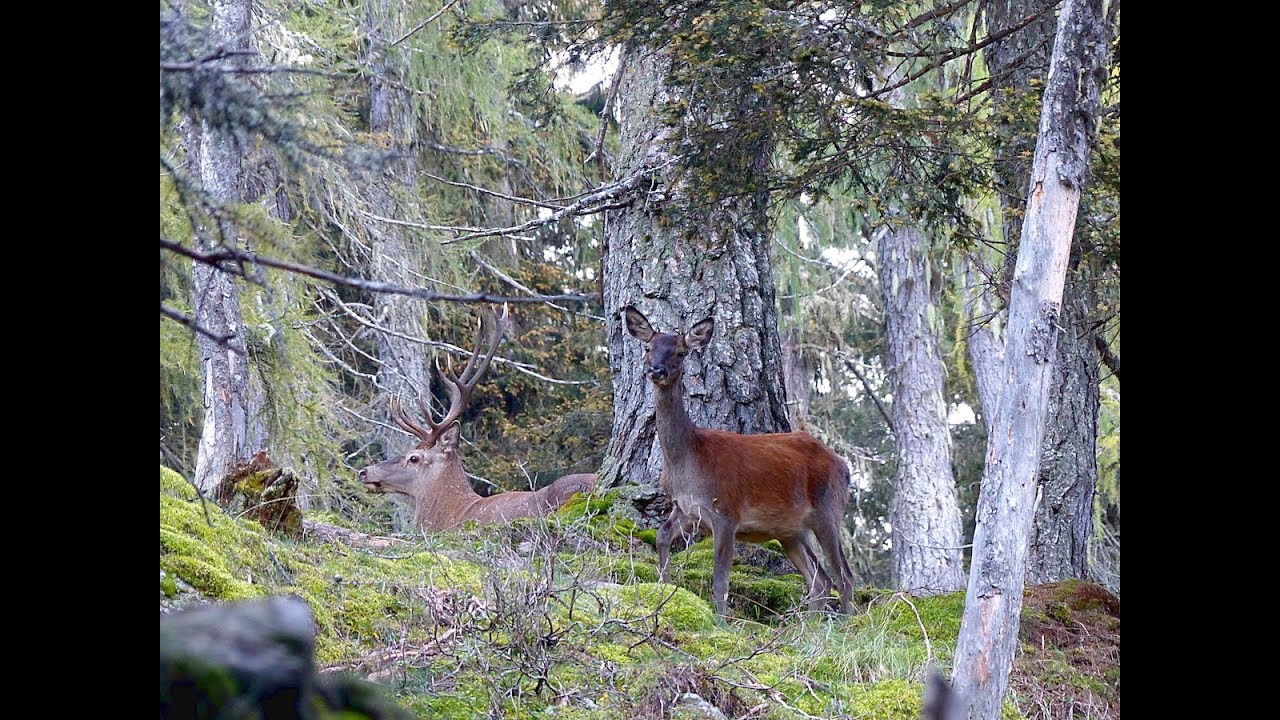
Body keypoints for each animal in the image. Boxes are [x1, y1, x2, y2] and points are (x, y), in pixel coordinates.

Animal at [623, 305, 855, 616]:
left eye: (681, 352)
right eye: (648, 348)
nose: (656, 370)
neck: (688, 463)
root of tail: (844, 467)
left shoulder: (726, 512)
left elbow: (720, 579)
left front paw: (720, 621)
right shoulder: (685, 508)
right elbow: (661, 536)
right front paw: (663, 589)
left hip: (828, 508)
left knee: (844, 576)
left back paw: (848, 621)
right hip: (790, 531)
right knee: (820, 580)